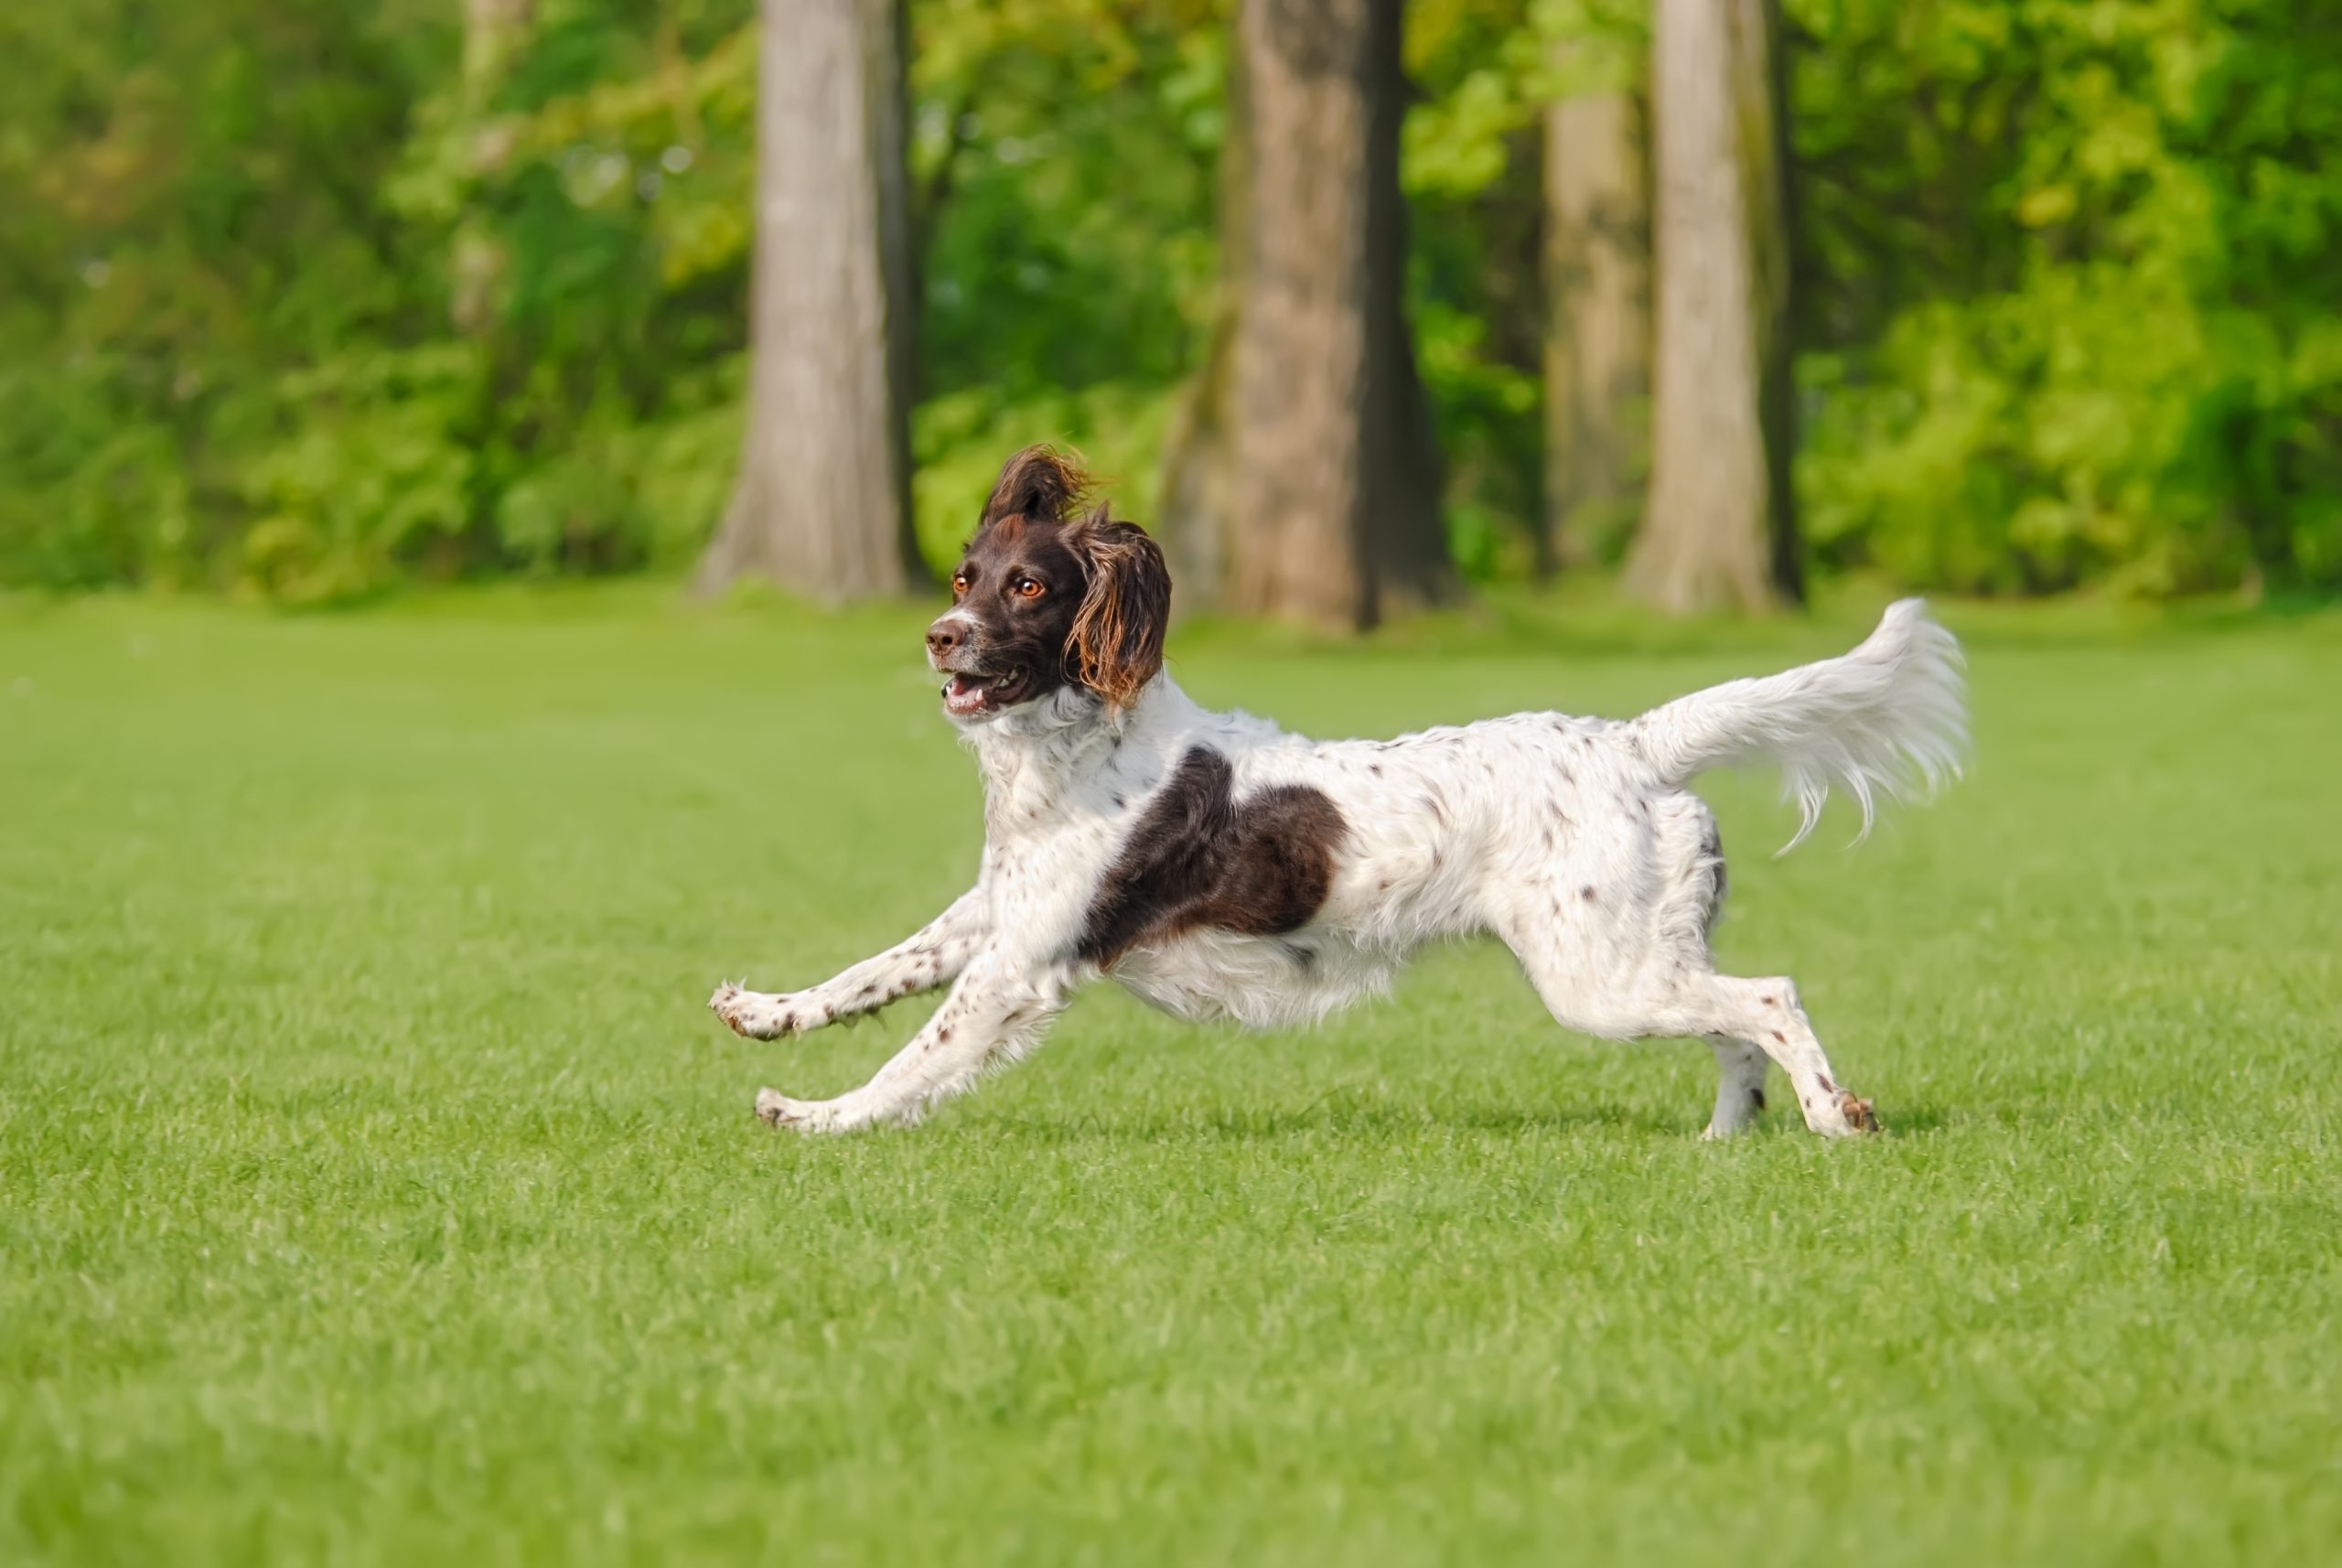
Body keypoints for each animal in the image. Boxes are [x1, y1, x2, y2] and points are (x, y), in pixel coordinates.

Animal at [707, 449, 1958, 1137]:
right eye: (965, 575)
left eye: (1026, 587)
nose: (939, 635)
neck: (1068, 753)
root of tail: (1635, 743)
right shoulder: (999, 910)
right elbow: (872, 972)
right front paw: (766, 1013)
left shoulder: (1022, 964)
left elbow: (912, 1058)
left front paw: (815, 1118)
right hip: (1641, 960)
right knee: (1734, 1020)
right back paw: (1724, 1138)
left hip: (1599, 976)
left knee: (1770, 998)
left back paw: (1834, 1119)